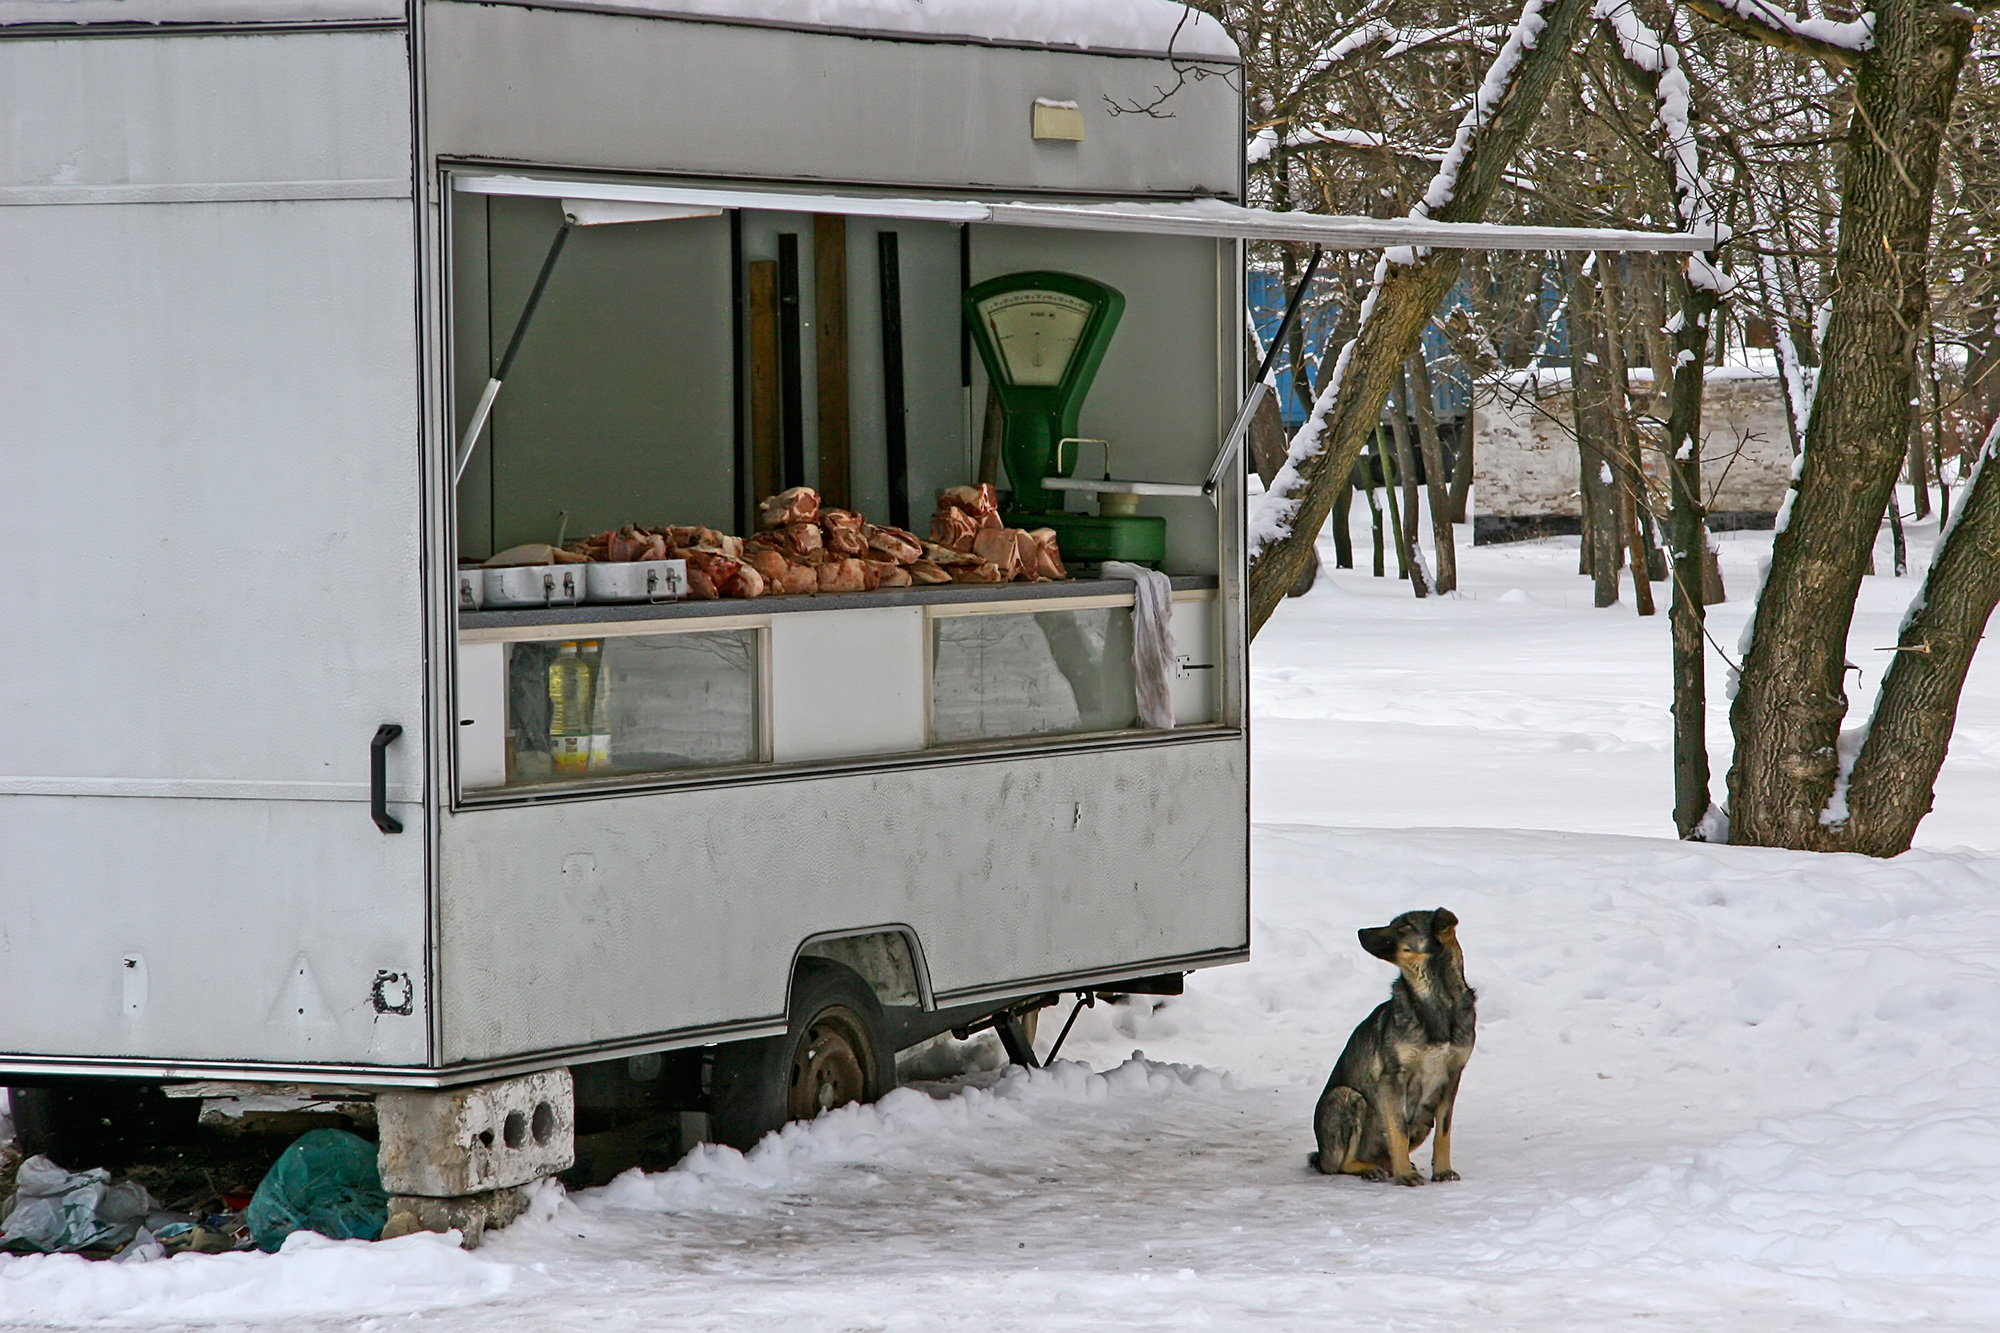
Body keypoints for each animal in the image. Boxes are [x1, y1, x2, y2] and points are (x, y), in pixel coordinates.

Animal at [1304, 904, 1480, 1184]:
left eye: (1404, 927)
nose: (1360, 931)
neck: (1433, 999)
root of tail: (1322, 1155)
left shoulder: (1452, 1078)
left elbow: (1444, 1133)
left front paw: (1442, 1170)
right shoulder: (1393, 1078)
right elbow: (1397, 1130)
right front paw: (1405, 1175)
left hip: (1424, 1119)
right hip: (1346, 1096)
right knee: (1340, 1164)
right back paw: (1369, 1168)